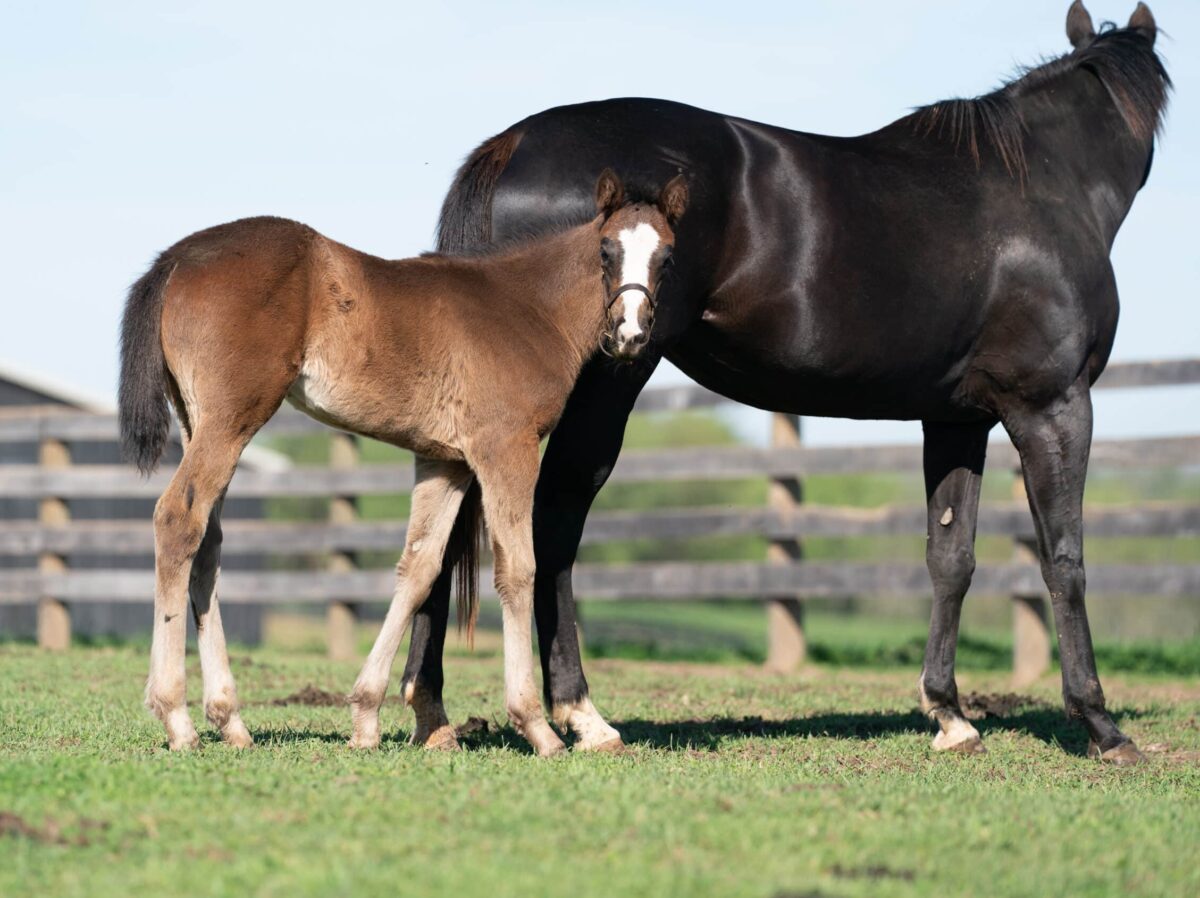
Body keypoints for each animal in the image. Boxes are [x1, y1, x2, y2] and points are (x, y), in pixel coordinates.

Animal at [119, 171, 696, 753]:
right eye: (606, 250)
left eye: (668, 256)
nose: (630, 335)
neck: (528, 309)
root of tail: (176, 258)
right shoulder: (505, 447)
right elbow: (518, 569)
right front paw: (536, 726)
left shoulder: (446, 462)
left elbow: (418, 569)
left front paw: (366, 715)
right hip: (232, 417)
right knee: (177, 520)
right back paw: (177, 717)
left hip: (199, 420)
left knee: (208, 542)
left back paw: (229, 719)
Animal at [398, 3, 1166, 763]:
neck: (1042, 186)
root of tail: (515, 142)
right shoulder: (1052, 406)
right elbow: (1064, 557)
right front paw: (1101, 725)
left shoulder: (957, 419)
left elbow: (951, 557)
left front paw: (949, 714)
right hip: (605, 380)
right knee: (553, 521)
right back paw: (582, 716)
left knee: (445, 520)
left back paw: (430, 711)